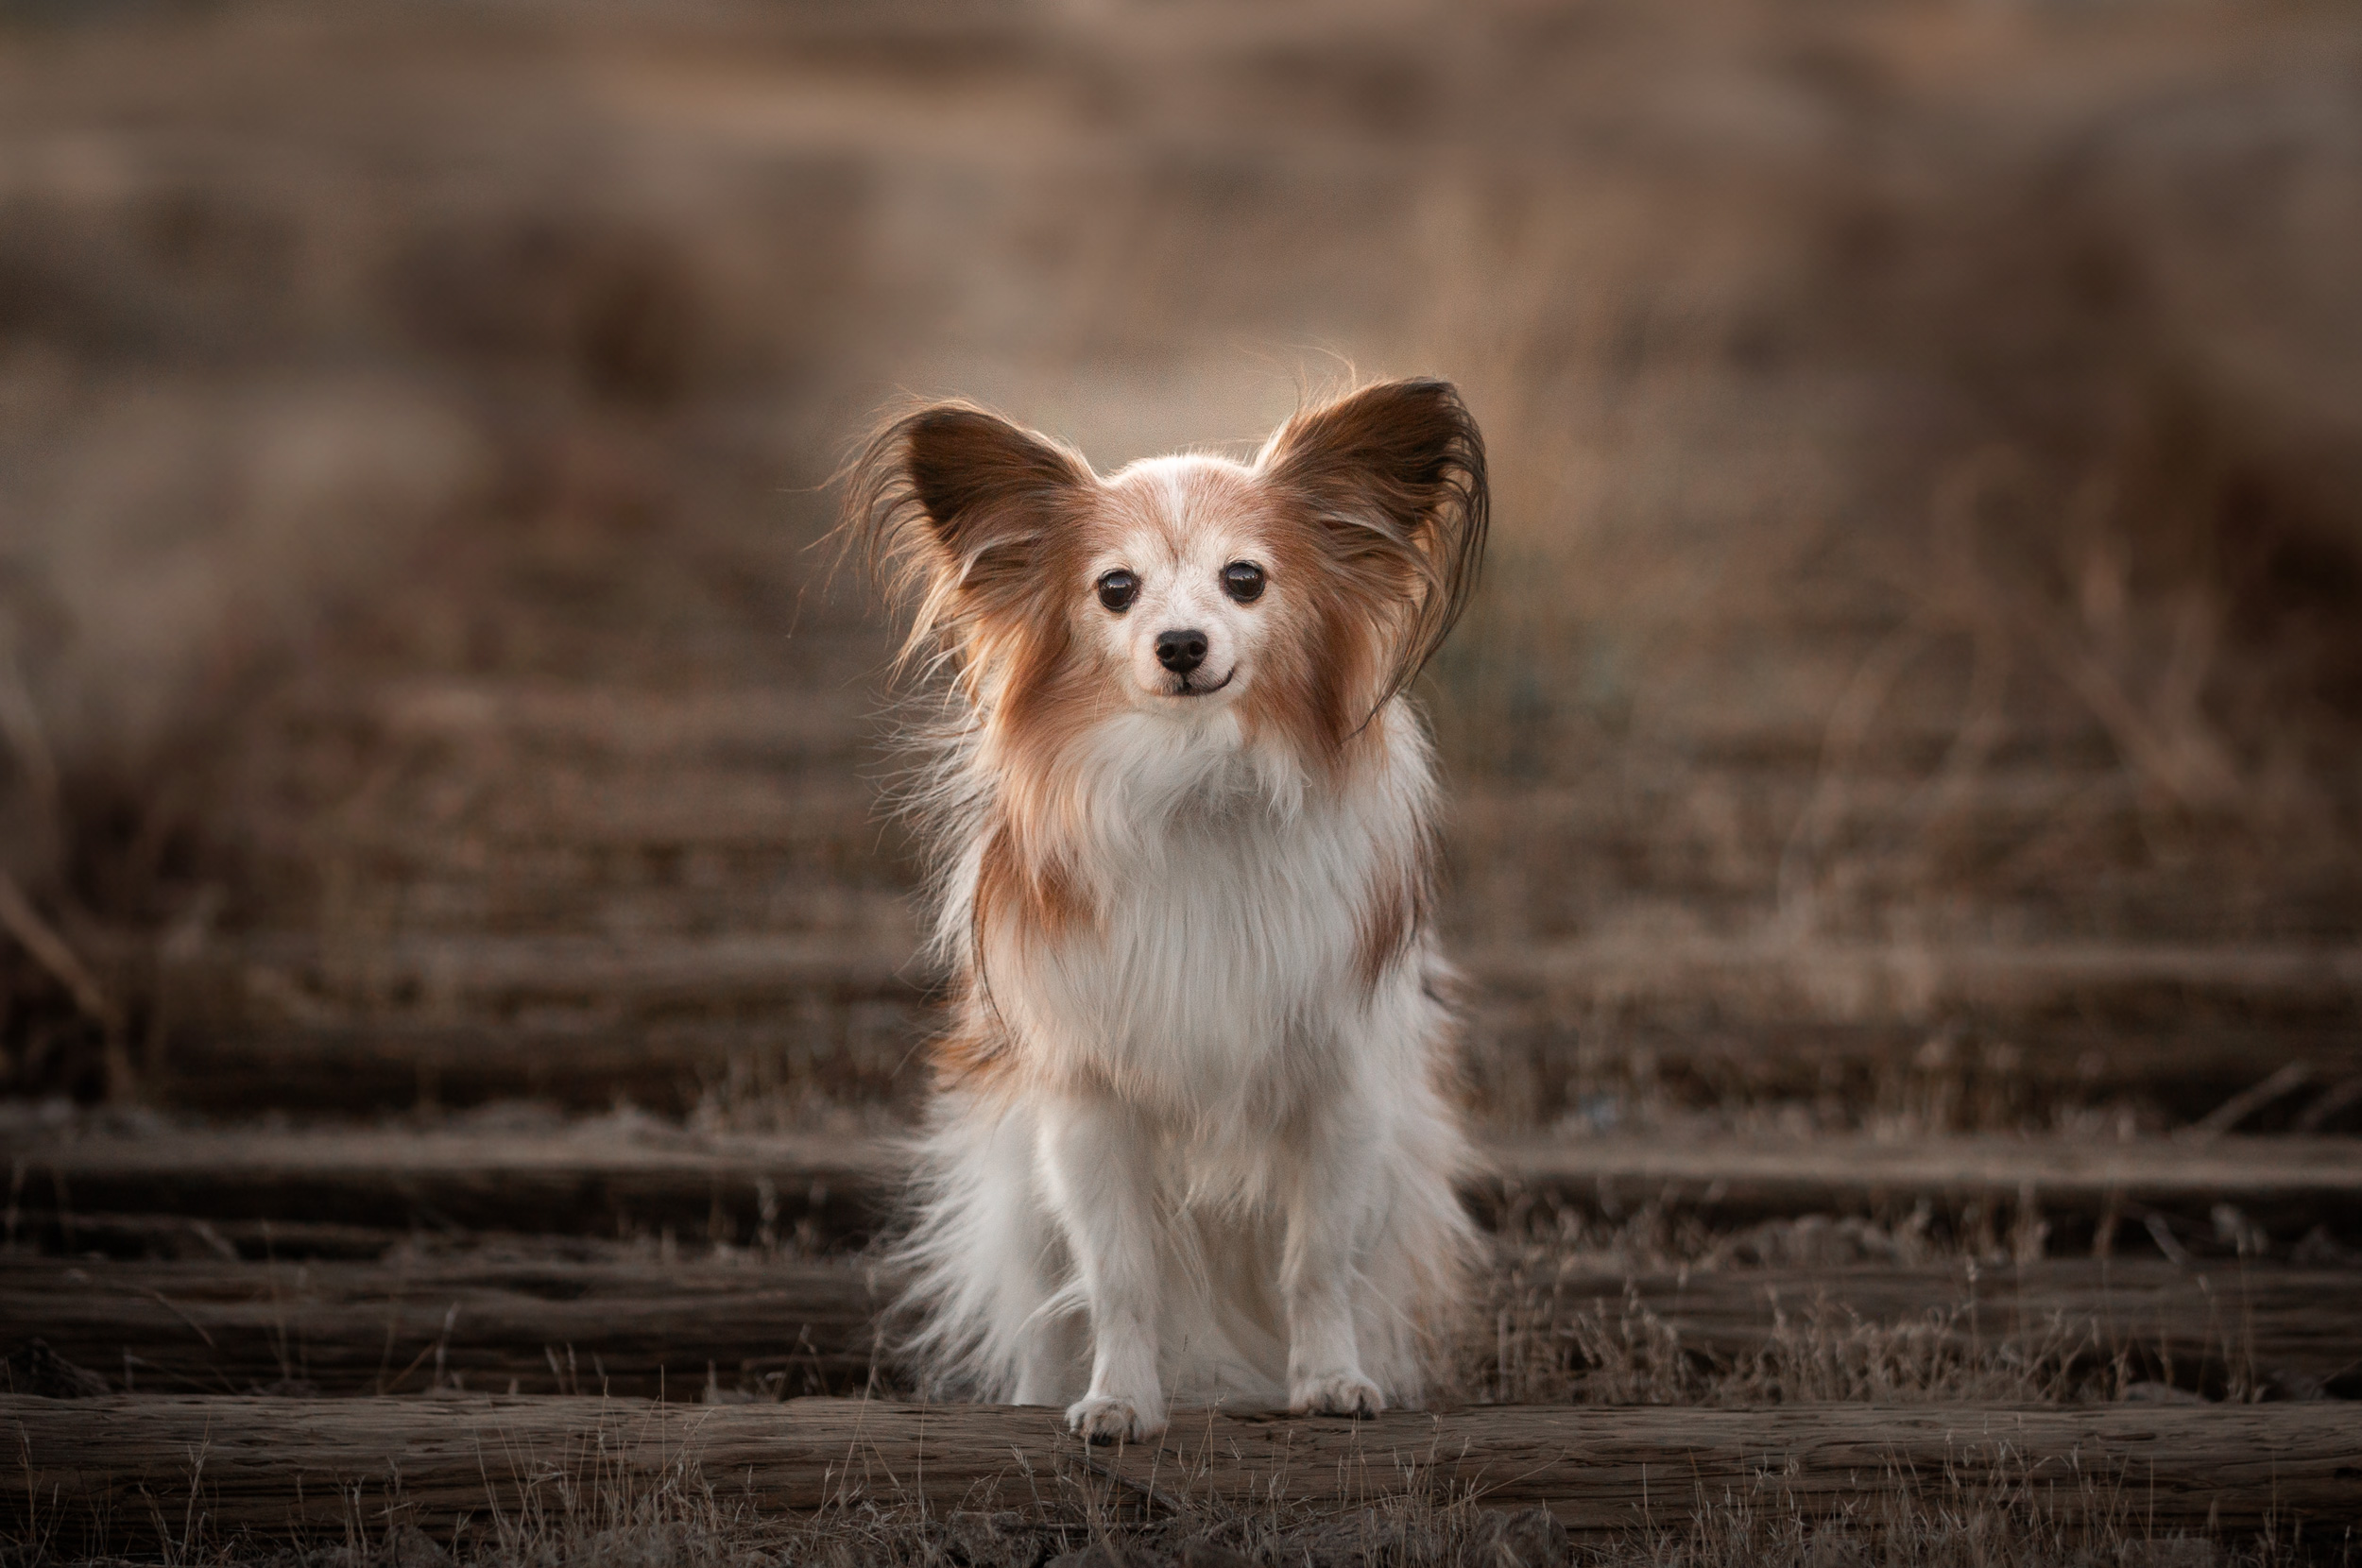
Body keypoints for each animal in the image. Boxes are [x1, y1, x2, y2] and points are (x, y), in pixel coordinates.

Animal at [841, 373, 1483, 1436]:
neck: (1195, 780)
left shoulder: (1341, 1090)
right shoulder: (1089, 1105)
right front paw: (1119, 1401)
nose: (1181, 645)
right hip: (1020, 1202)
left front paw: (1331, 1381)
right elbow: (1119, 1277)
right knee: (1044, 1314)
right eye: (1117, 589)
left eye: (1245, 580)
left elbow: (1316, 1264)